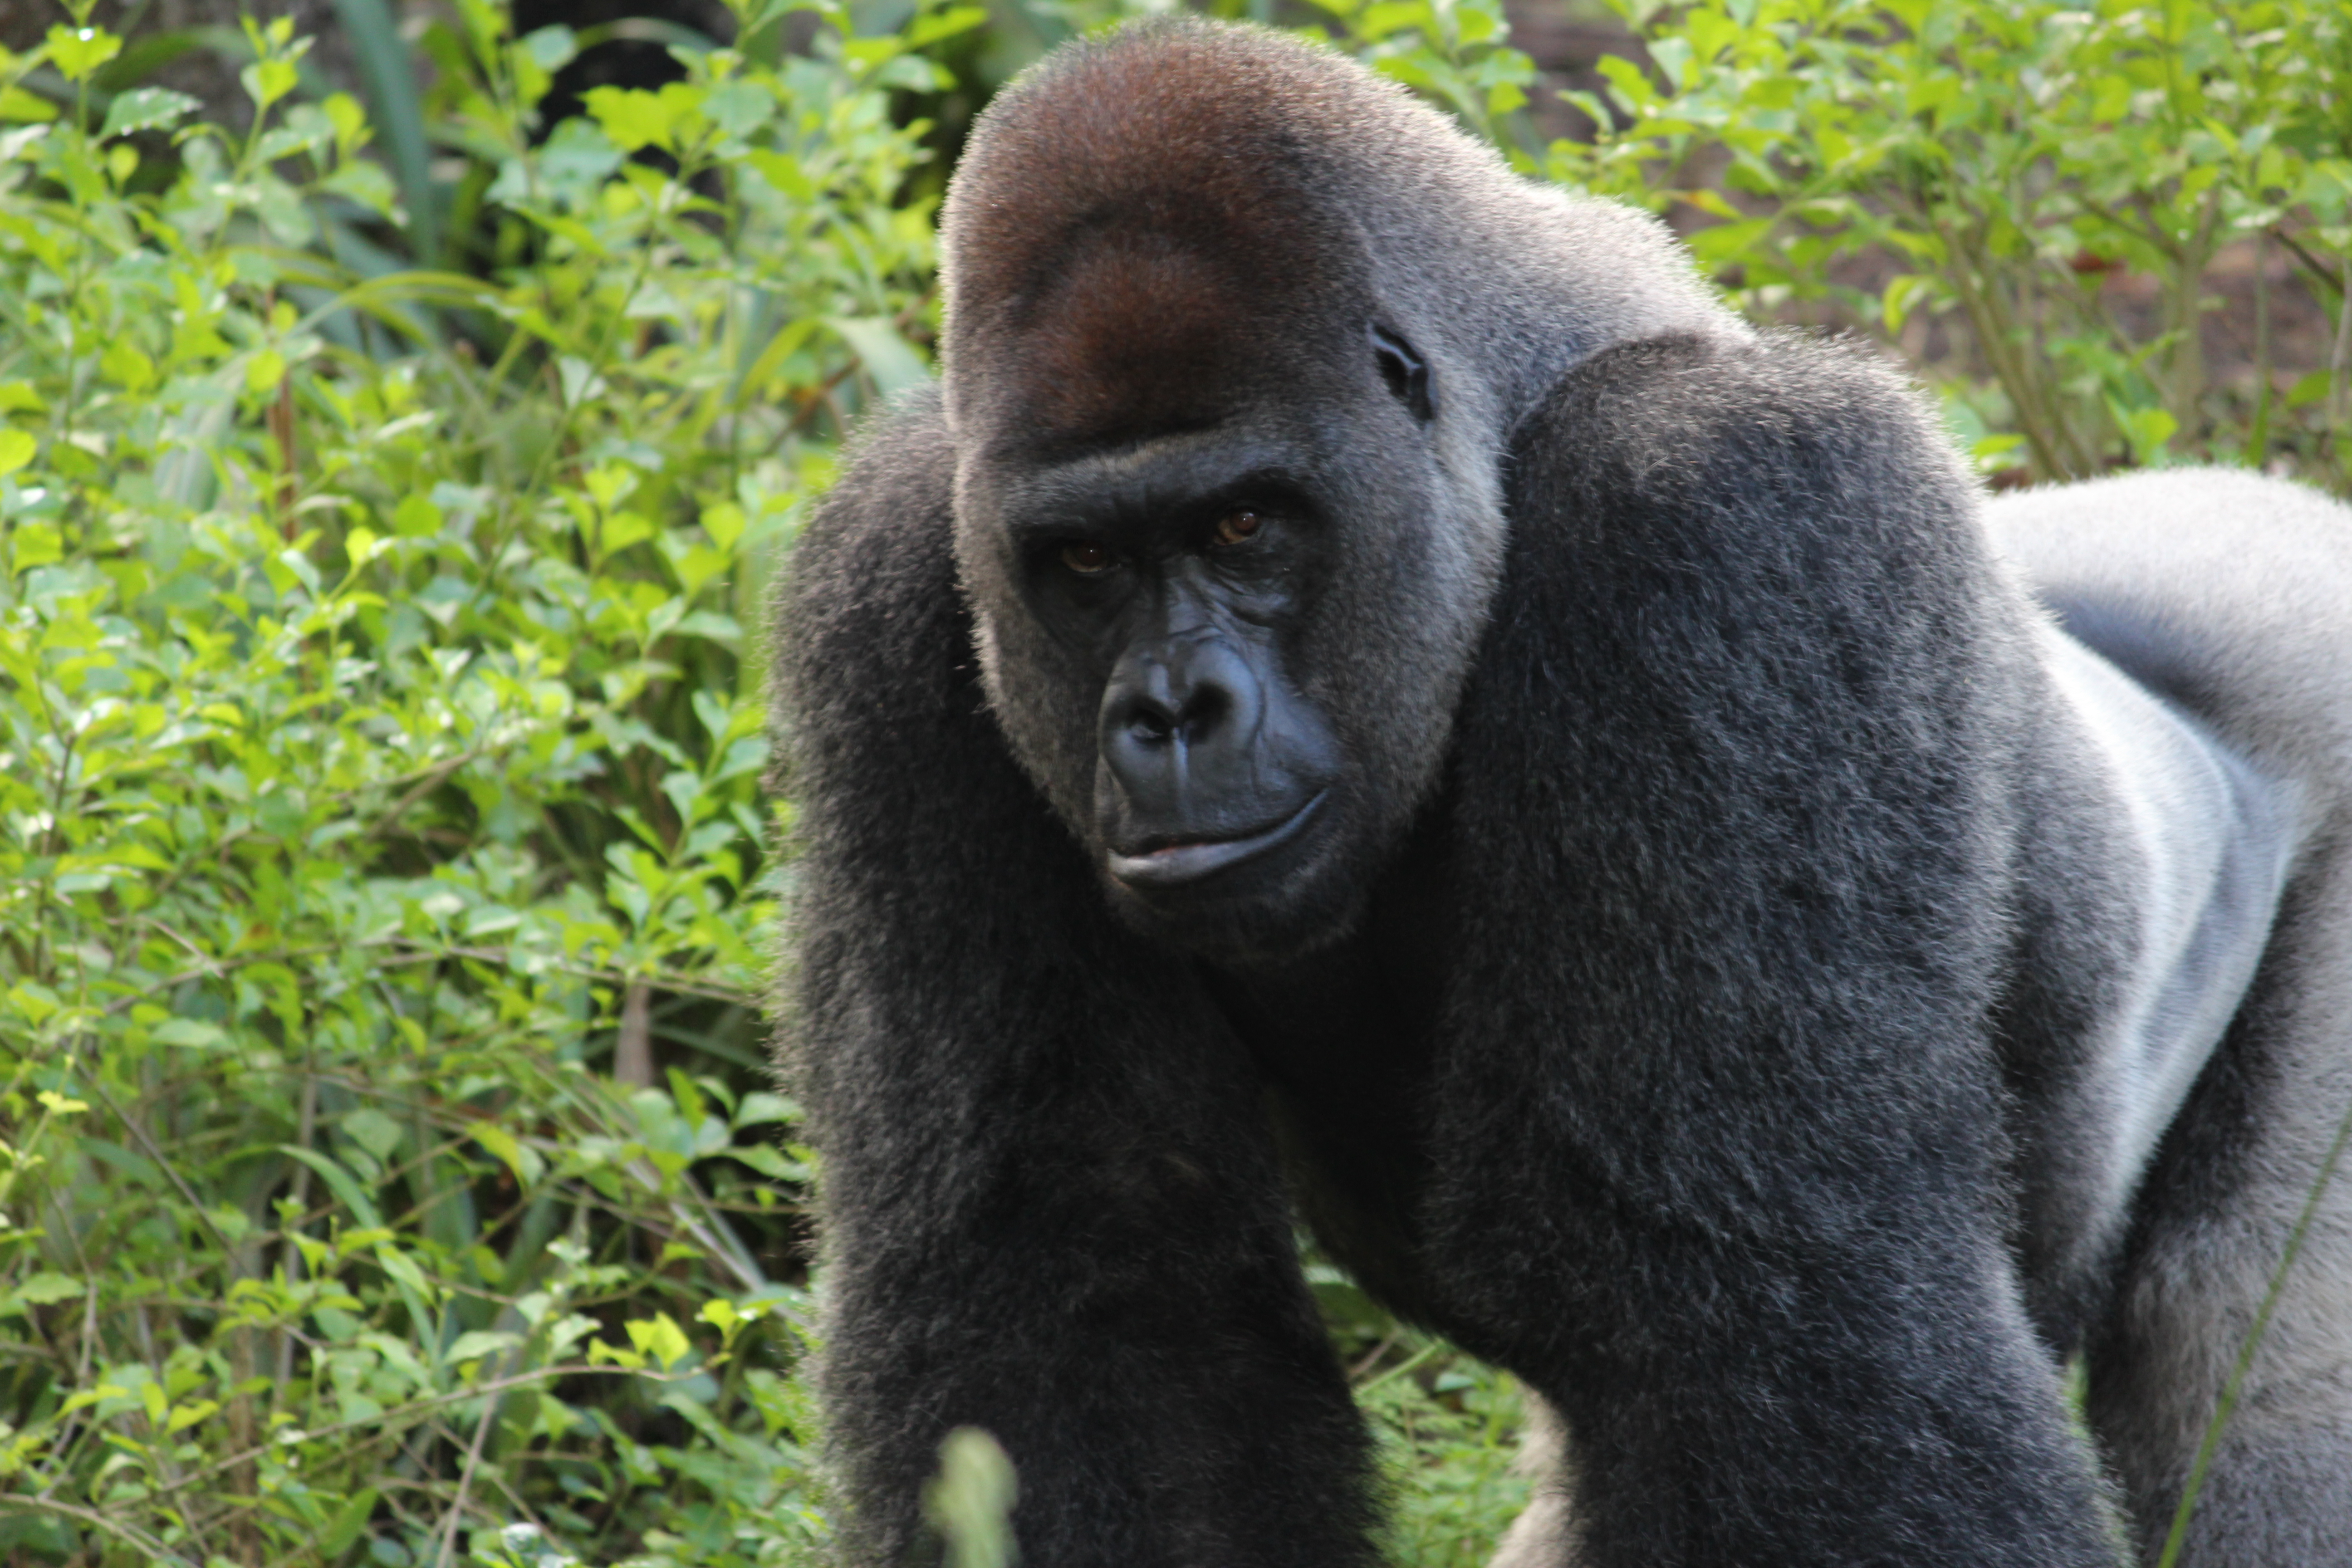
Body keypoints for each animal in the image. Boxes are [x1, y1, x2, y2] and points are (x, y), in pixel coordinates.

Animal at [771, 15, 2352, 1568]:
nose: (1170, 715)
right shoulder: (894, 582)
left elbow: (1778, 1301)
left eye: (1246, 525)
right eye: (1087, 562)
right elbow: (1088, 1292)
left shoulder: (1714, 508)